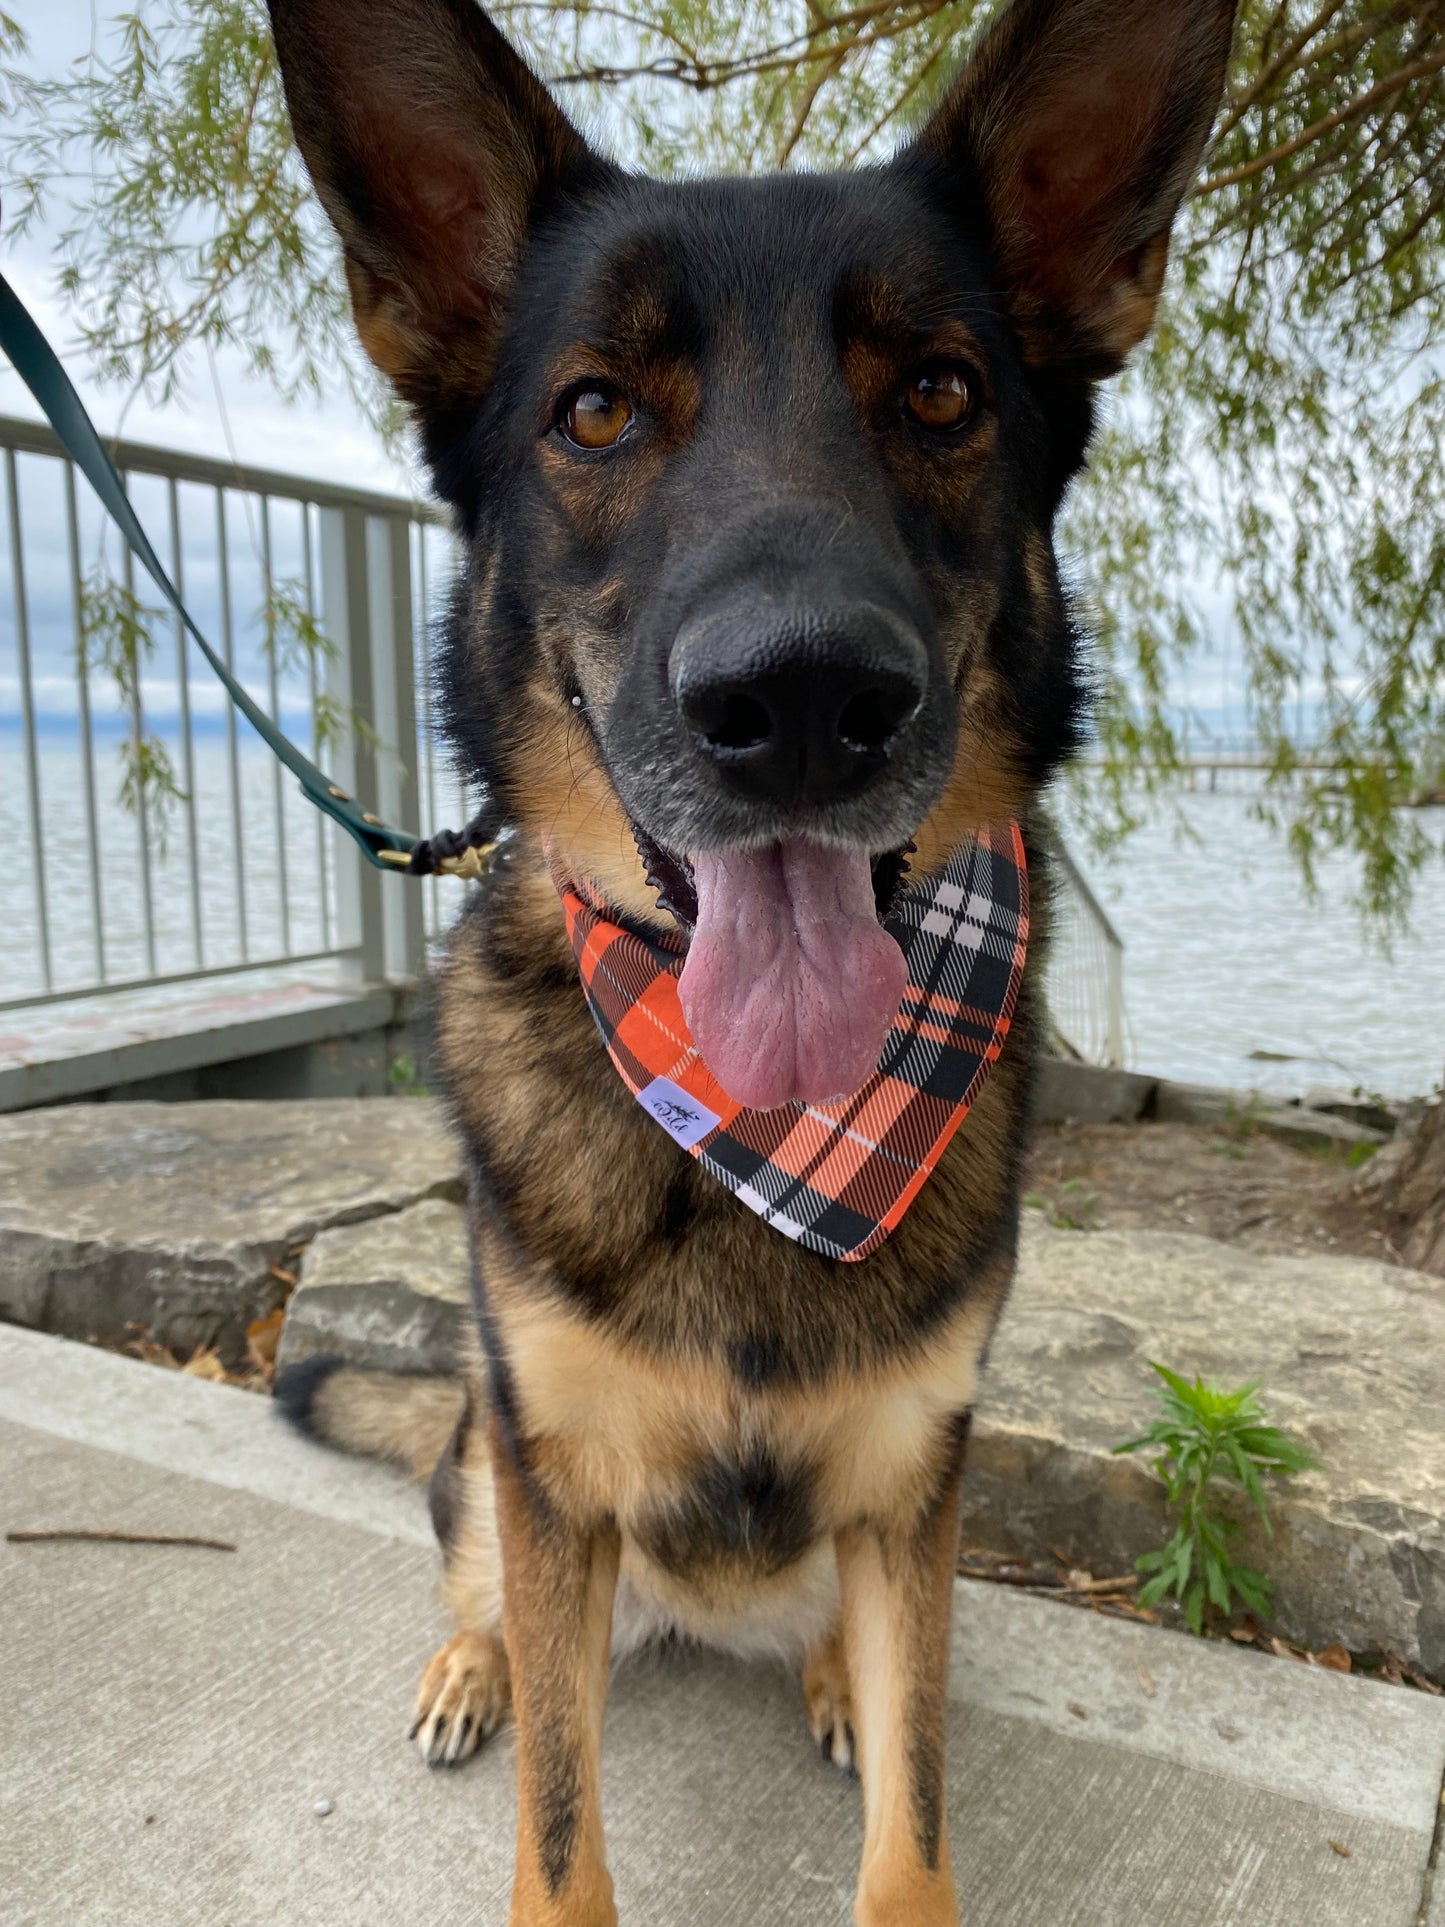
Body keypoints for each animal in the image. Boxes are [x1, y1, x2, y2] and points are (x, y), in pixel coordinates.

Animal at [273, 3, 1248, 1911]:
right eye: (592, 408)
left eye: (940, 390)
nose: (798, 698)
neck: (759, 1145)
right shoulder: (551, 1467)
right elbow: (560, 1824)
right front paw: (516, 1723)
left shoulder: (912, 1477)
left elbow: (917, 1823)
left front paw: (881, 1744)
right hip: (493, 1465)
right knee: (487, 1581)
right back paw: (472, 1662)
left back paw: (825, 1679)